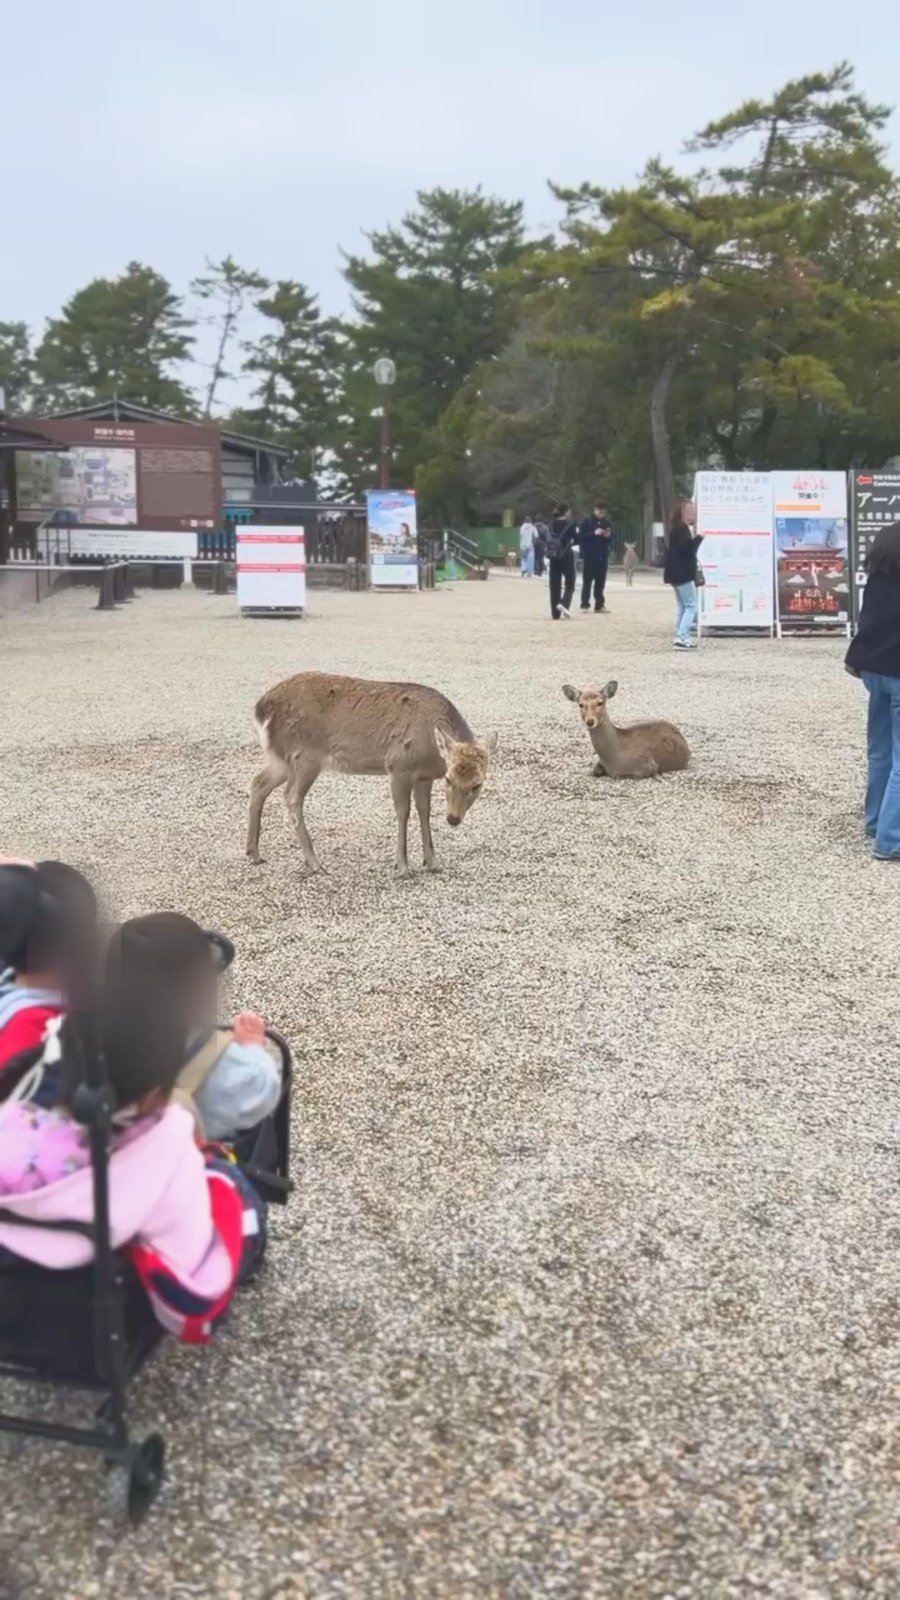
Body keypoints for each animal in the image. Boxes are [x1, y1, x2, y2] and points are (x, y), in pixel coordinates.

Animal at [246, 672, 498, 876]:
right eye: (448, 778)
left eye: (477, 784)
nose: (453, 818)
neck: (430, 751)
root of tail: (261, 707)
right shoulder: (398, 765)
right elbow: (403, 812)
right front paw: (402, 866)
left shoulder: (423, 776)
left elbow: (424, 812)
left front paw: (432, 862)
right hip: (304, 755)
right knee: (291, 796)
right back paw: (315, 863)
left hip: (281, 758)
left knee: (258, 783)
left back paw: (254, 852)